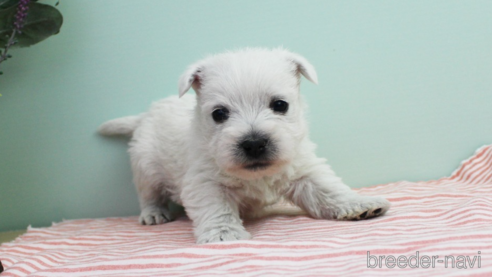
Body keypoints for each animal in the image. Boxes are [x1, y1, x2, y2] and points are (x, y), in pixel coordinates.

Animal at [99, 48, 392, 243]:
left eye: (280, 105)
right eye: (219, 114)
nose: (254, 143)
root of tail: (146, 113)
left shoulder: (304, 170)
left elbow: (329, 190)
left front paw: (359, 204)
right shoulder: (206, 183)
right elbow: (217, 210)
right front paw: (225, 236)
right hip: (146, 166)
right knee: (148, 194)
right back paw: (154, 214)